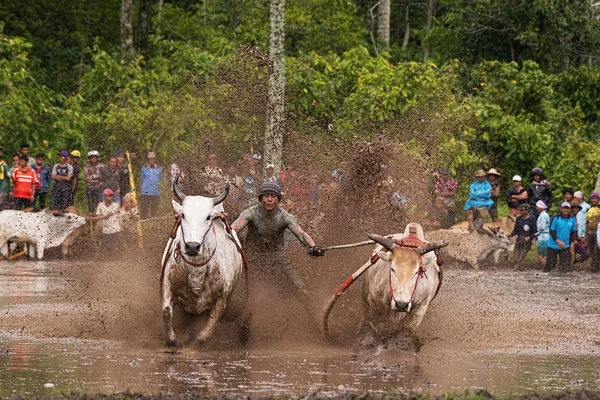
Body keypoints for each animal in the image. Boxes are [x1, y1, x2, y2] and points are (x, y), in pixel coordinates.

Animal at [162, 178, 244, 346]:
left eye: (208, 217)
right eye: (183, 215)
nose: (192, 246)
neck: (196, 271)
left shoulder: (222, 297)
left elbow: (212, 321)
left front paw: (199, 339)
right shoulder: (168, 284)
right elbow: (167, 311)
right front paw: (173, 339)